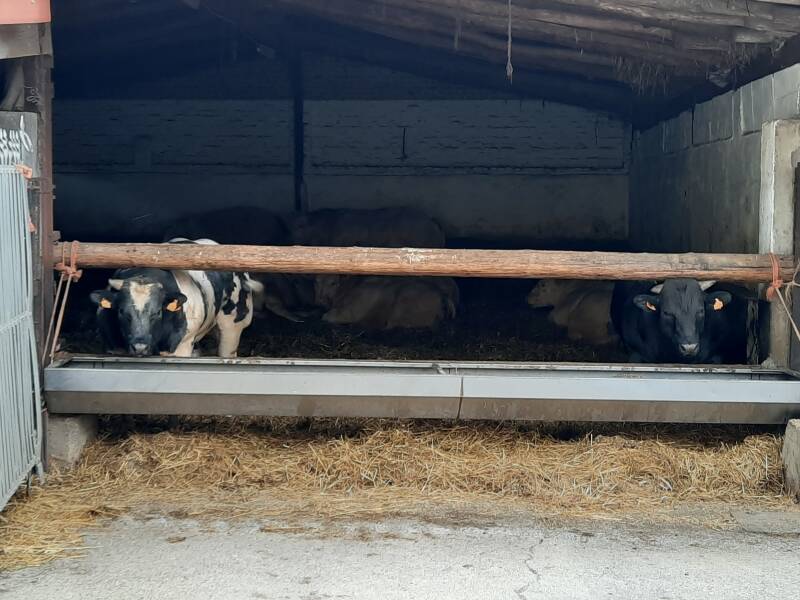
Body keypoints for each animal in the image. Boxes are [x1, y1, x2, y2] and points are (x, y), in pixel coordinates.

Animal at [315, 275, 459, 330]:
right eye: (316, 282)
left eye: (333, 283)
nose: (320, 299)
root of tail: (441, 294)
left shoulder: (349, 311)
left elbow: (326, 317)